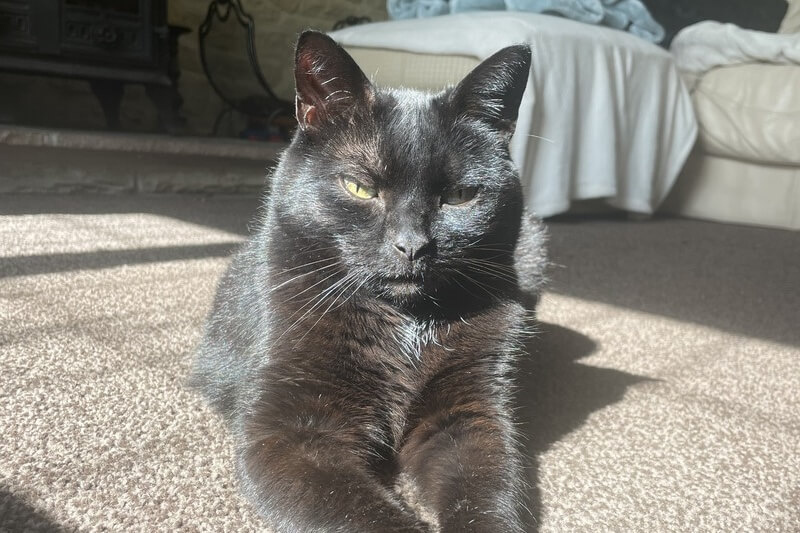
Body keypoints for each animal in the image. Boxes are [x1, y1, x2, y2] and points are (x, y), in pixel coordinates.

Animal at [191, 30, 548, 532]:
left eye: (460, 195)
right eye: (360, 188)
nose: (412, 246)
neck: (404, 322)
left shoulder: (471, 416)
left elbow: (488, 494)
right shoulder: (292, 434)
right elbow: (366, 515)